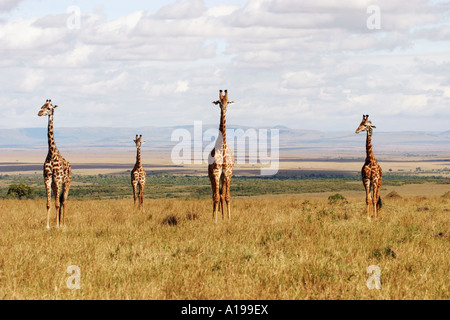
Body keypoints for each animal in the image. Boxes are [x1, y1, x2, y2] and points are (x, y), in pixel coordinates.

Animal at [37, 99, 71, 229]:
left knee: (64, 201)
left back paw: (63, 224)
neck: (51, 153)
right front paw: (47, 226)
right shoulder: (48, 179)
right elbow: (48, 204)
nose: (39, 113)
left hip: (66, 183)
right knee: (60, 200)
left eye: (49, 108)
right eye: (42, 106)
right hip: (55, 185)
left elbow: (57, 203)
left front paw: (57, 226)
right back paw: (60, 222)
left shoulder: (58, 179)